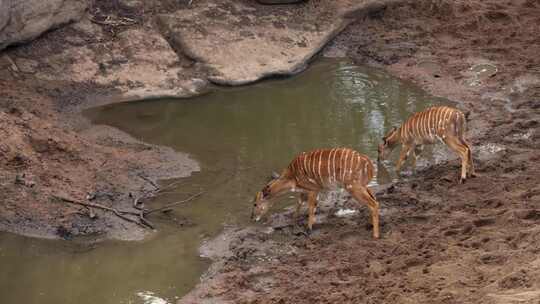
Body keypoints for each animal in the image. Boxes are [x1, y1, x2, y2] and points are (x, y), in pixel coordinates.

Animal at [250, 147, 380, 238]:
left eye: (255, 204)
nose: (252, 218)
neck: (291, 176)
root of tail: (369, 164)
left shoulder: (313, 189)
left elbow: (310, 208)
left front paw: (308, 229)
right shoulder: (306, 191)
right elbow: (299, 204)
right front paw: (293, 221)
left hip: (353, 187)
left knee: (373, 203)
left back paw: (375, 235)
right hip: (362, 186)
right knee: (374, 199)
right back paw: (370, 226)